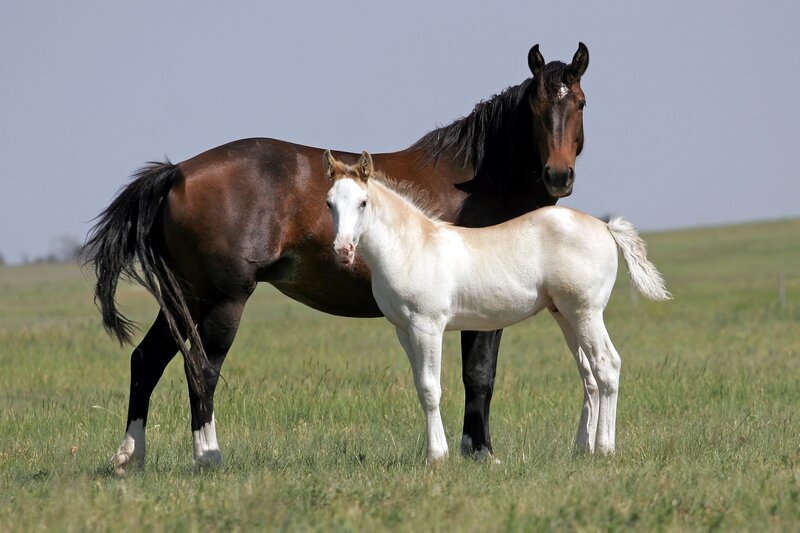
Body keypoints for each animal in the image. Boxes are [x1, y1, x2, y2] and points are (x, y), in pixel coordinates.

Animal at [86, 43, 590, 473]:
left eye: (580, 103)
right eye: (536, 108)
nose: (559, 175)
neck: (480, 180)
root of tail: (177, 173)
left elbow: (475, 377)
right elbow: (480, 375)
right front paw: (481, 452)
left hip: (186, 298)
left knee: (147, 361)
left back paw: (129, 458)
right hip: (222, 300)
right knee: (202, 371)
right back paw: (208, 458)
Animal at [324, 151, 670, 463]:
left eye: (363, 202)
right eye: (329, 203)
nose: (342, 250)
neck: (412, 247)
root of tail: (606, 227)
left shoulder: (428, 326)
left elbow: (431, 388)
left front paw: (437, 456)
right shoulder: (403, 331)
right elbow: (420, 388)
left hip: (586, 312)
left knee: (607, 366)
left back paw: (604, 448)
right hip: (566, 315)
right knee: (589, 375)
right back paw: (582, 449)